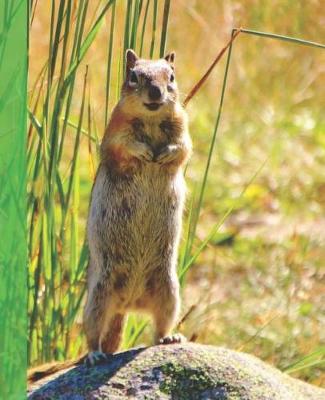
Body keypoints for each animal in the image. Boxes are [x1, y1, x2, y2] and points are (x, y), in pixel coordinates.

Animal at [84, 48, 192, 364]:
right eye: (133, 76)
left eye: (171, 76)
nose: (156, 92)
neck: (152, 119)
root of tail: (126, 304)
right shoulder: (115, 131)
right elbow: (122, 146)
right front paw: (144, 152)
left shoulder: (183, 129)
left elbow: (182, 149)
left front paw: (163, 153)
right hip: (98, 297)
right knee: (92, 331)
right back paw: (94, 354)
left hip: (169, 293)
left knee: (159, 327)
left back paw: (170, 338)